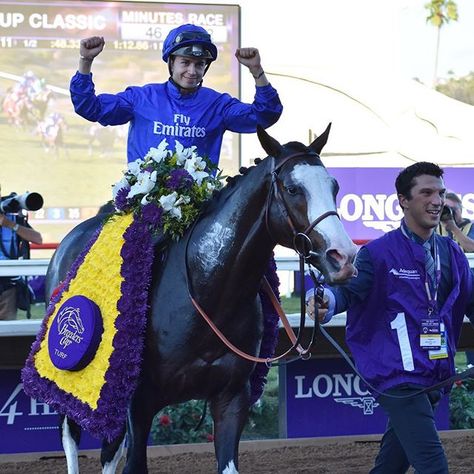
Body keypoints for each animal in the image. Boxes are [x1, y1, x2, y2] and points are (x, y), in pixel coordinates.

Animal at [45, 124, 356, 472]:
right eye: (292, 189)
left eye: (334, 186)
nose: (343, 257)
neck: (206, 294)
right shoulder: (138, 404)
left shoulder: (232, 398)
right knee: (71, 434)